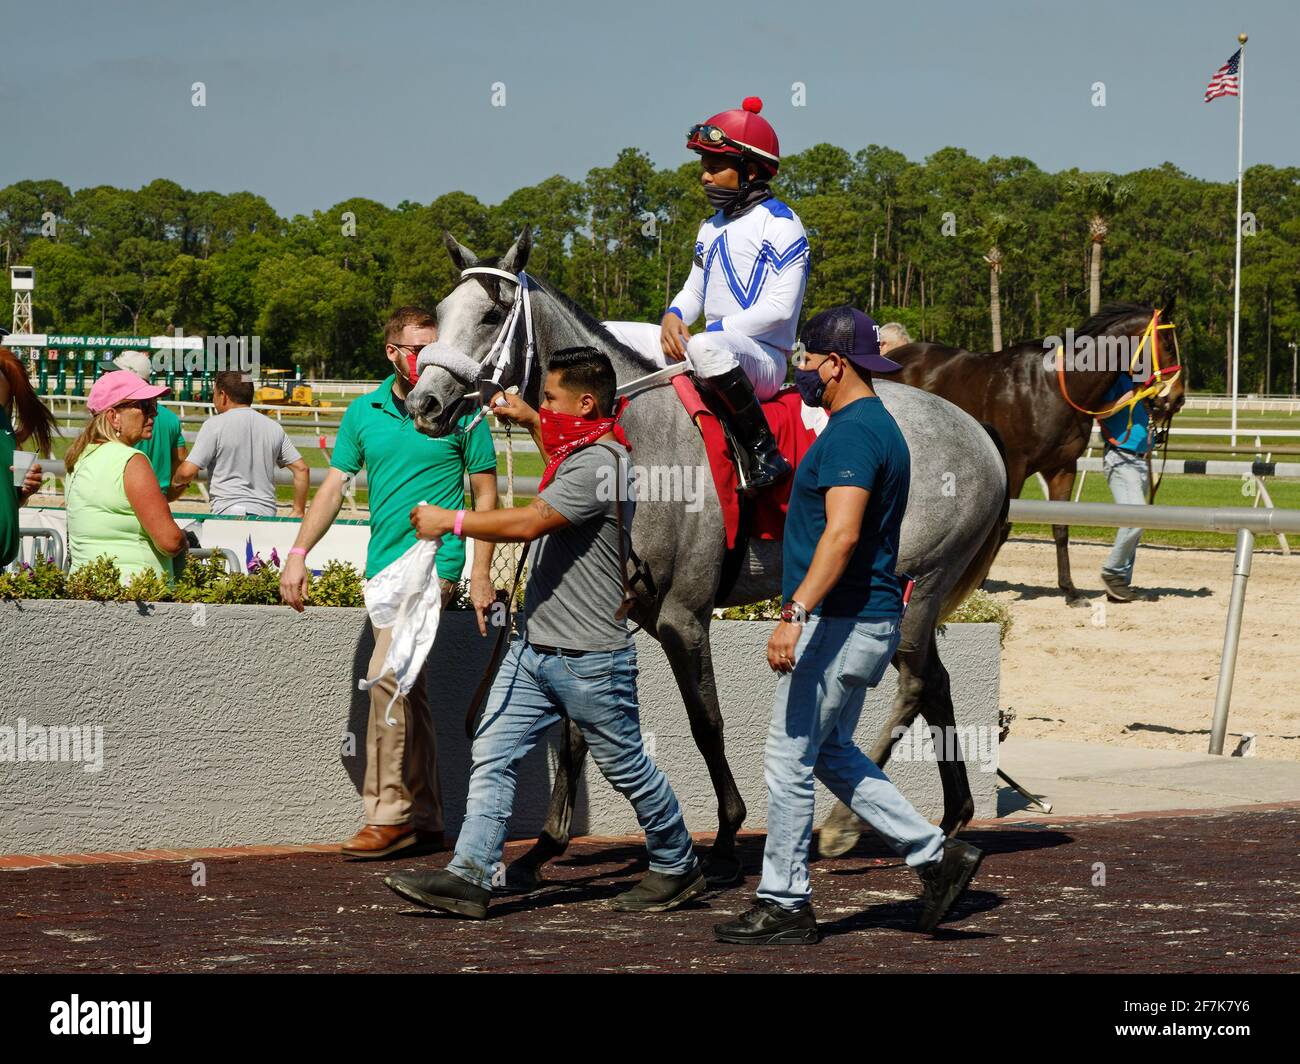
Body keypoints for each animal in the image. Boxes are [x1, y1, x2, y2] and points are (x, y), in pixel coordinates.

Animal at [410, 230, 1008, 879]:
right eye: (440, 312)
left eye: (492, 315)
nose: (424, 403)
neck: (636, 442)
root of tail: (978, 431)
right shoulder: (604, 611)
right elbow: (575, 725)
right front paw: (546, 844)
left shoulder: (683, 615)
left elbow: (706, 722)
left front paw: (725, 836)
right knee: (936, 683)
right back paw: (951, 818)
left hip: (914, 584)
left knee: (915, 684)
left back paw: (843, 824)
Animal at [878, 303, 1185, 600]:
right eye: (1168, 345)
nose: (1177, 398)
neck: (1054, 388)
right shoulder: (1015, 465)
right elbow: (1002, 527)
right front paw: (979, 583)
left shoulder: (1062, 468)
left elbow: (1061, 527)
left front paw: (1070, 589)